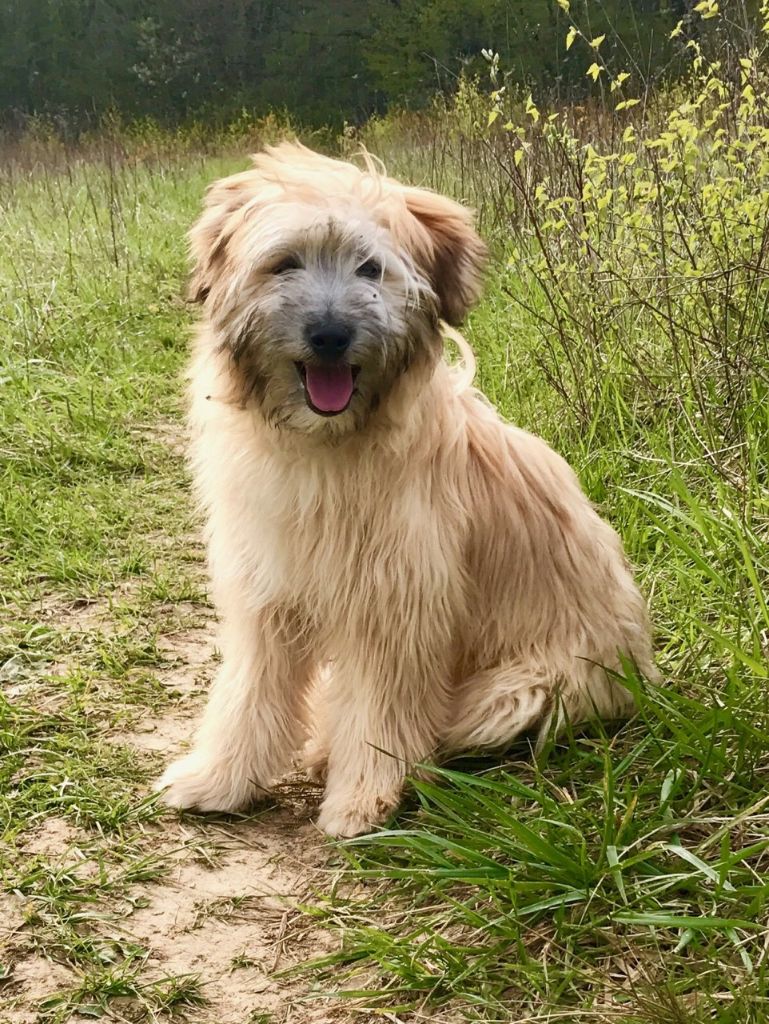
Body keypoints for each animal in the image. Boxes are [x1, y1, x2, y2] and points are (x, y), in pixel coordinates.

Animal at [156, 140, 655, 835]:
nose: (330, 336)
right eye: (284, 263)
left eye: (371, 269)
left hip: (520, 690)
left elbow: (382, 711)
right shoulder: (266, 594)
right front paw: (219, 780)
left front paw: (361, 800)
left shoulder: (399, 604)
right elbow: (248, 693)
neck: (325, 448)